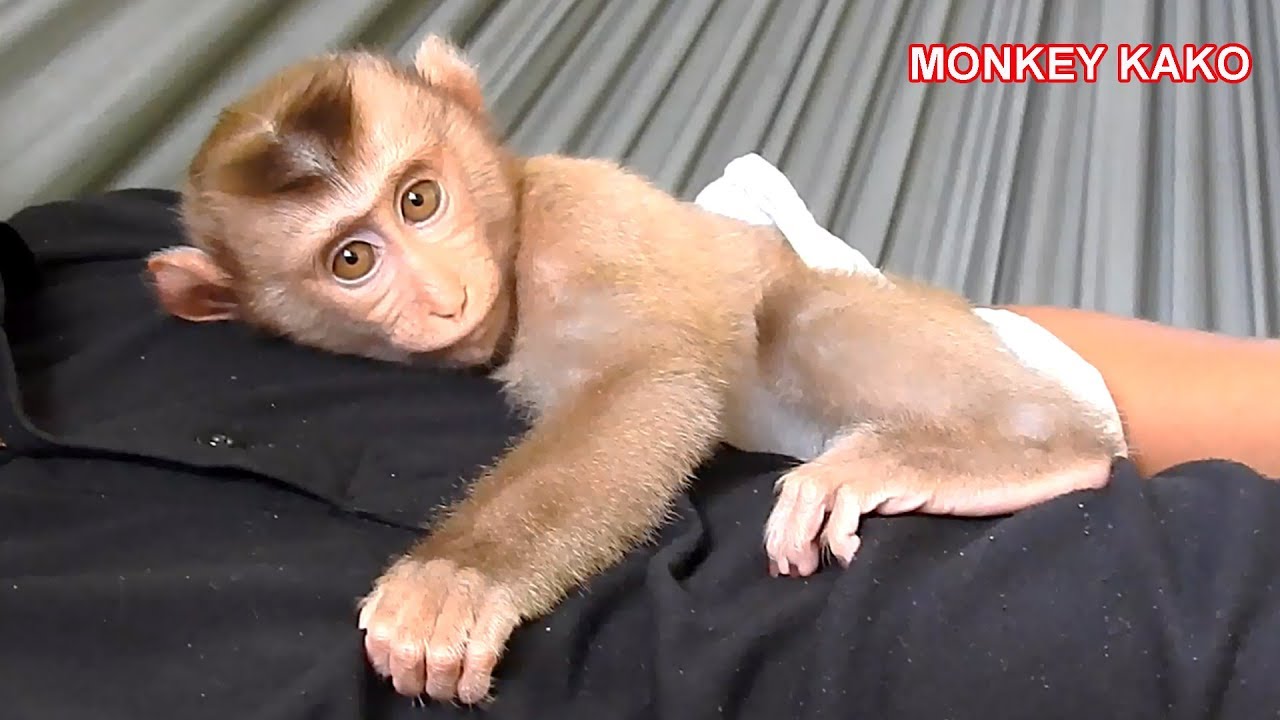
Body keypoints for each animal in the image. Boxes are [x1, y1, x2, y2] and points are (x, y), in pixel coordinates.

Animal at [143, 36, 1124, 705]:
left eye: (419, 199)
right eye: (352, 260)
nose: (445, 298)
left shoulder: (579, 215)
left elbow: (651, 373)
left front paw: (460, 575)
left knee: (790, 316)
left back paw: (1040, 449)